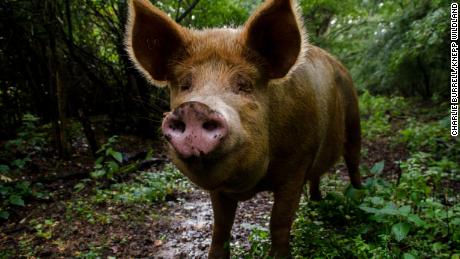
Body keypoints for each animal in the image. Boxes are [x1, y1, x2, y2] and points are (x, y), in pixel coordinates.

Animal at [126, 0, 362, 256]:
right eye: (185, 85)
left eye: (244, 85)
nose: (195, 107)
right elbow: (221, 226)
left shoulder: (297, 163)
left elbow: (279, 222)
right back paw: (316, 202)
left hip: (354, 121)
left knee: (353, 162)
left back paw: (359, 198)